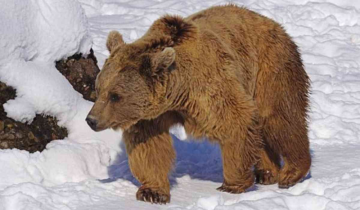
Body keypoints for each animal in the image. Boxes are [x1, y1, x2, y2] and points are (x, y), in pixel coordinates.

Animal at [86, 4, 310, 204]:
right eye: (99, 89)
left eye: (115, 96)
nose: (91, 120)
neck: (177, 92)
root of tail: (273, 24)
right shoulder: (152, 114)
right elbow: (149, 145)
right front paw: (152, 192)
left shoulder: (209, 87)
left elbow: (236, 121)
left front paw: (232, 184)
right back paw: (266, 172)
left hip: (269, 68)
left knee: (279, 118)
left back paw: (292, 172)